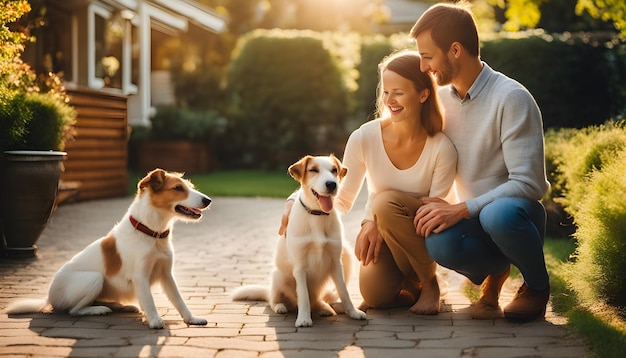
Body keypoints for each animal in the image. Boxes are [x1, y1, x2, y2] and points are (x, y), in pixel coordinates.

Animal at [3, 169, 212, 328]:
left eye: (190, 187)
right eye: (178, 188)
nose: (208, 200)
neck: (152, 233)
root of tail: (48, 298)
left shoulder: (166, 275)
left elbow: (179, 300)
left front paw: (191, 319)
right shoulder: (140, 276)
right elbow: (149, 300)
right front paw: (154, 320)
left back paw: (121, 306)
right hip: (93, 278)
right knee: (73, 310)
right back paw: (98, 310)